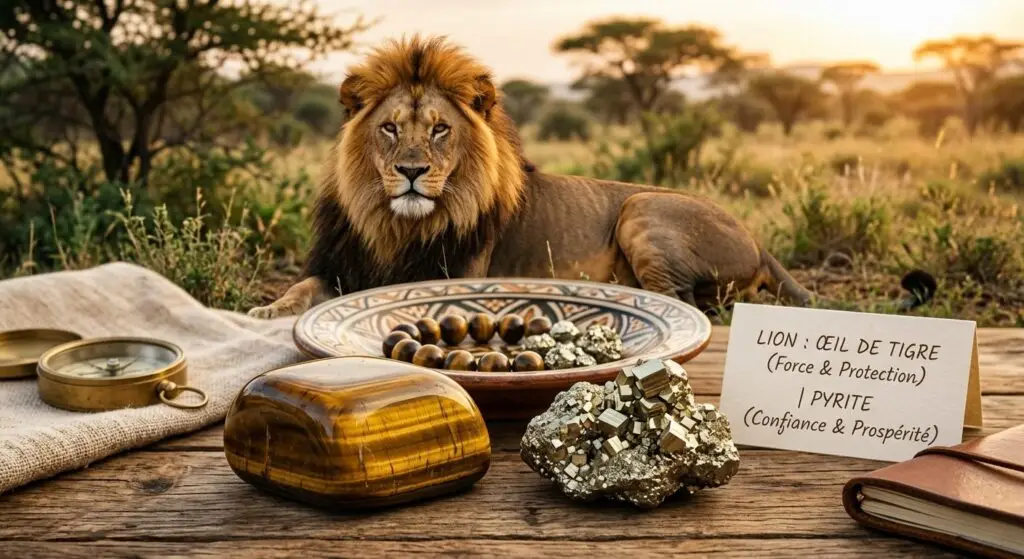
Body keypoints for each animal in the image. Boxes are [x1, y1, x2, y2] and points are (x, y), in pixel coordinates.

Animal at [248, 35, 934, 319]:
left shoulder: (446, 276)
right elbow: (304, 288)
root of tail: (760, 240)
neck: (394, 225)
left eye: (440, 130)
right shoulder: (341, 262)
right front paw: (263, 309)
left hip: (643, 209)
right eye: (390, 128)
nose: (412, 172)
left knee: (692, 303)